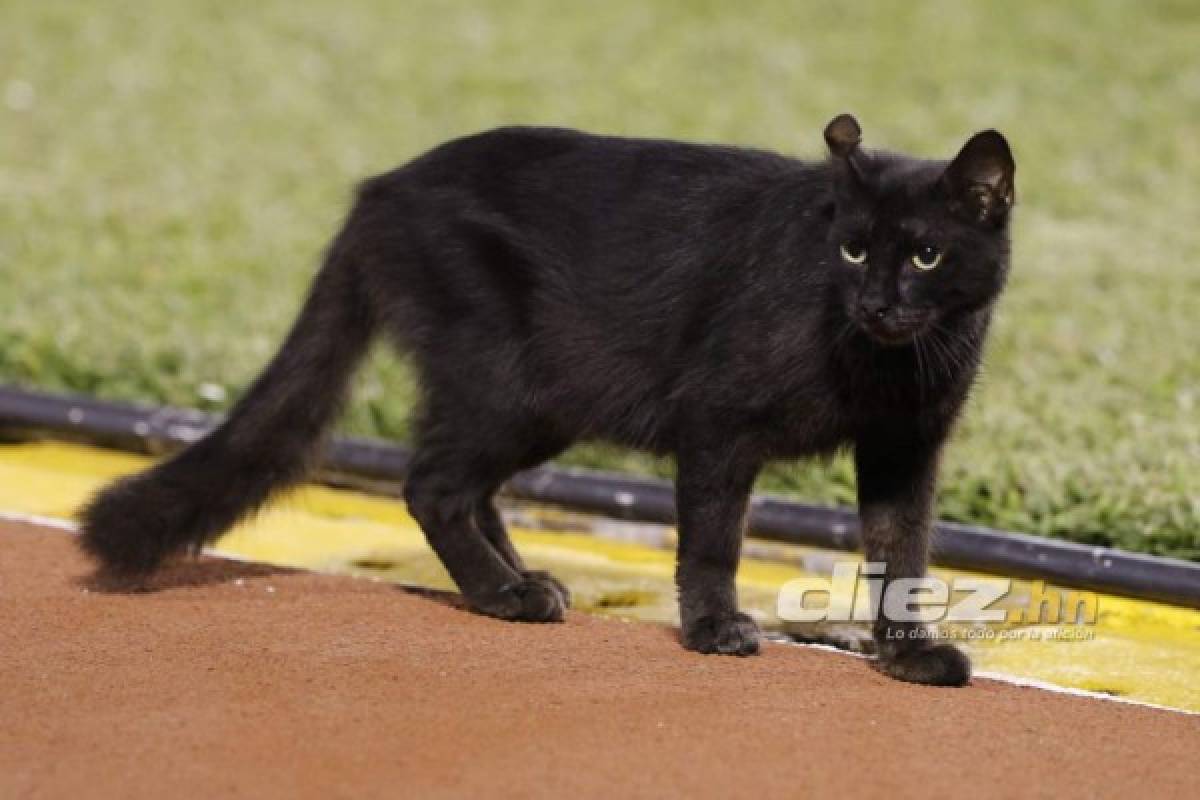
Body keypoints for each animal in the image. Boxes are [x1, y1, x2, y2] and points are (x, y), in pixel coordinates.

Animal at [79, 113, 1012, 690]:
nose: (877, 302)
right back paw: (504, 597)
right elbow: (714, 540)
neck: (883, 363)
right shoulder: (718, 424)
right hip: (512, 386)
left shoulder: (904, 451)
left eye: (925, 255)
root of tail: (383, 187)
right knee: (432, 485)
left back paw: (522, 579)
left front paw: (908, 656)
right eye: (851, 250)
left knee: (466, 487)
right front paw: (715, 630)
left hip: (535, 400)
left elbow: (902, 554)